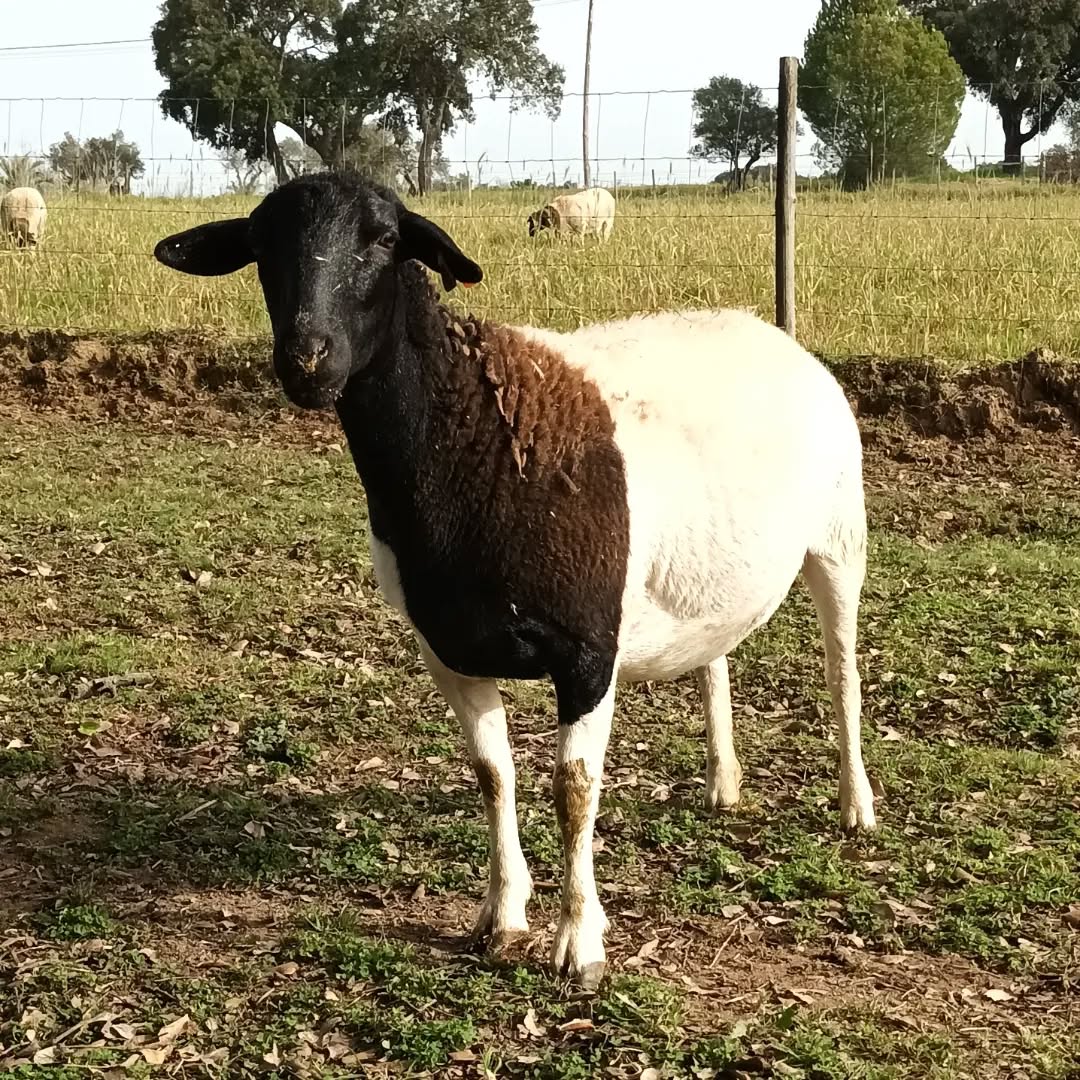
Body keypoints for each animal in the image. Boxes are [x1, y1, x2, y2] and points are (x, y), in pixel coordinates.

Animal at [153, 171, 877, 991]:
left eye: (384, 237)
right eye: (260, 245)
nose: (308, 358)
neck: (469, 434)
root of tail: (767, 329)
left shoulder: (588, 650)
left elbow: (573, 791)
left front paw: (580, 942)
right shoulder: (448, 648)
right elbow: (491, 774)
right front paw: (501, 916)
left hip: (839, 538)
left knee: (843, 670)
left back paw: (855, 804)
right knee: (713, 659)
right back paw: (723, 784)